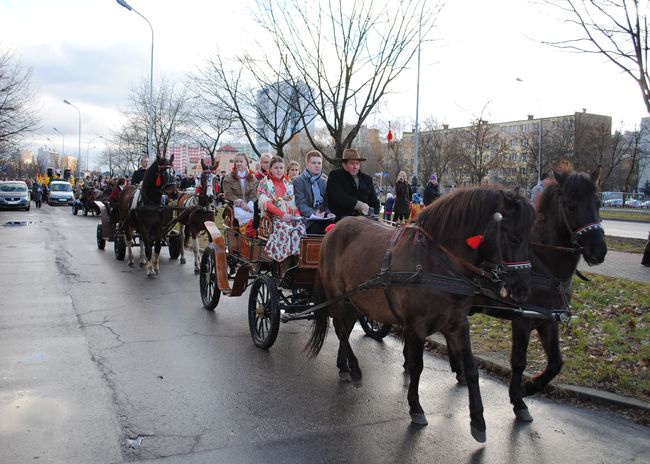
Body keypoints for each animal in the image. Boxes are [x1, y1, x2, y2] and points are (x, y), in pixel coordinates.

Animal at [306, 186, 536, 442]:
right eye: (513, 237)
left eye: (530, 238)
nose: (523, 289)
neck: (438, 262)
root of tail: (335, 227)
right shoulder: (416, 326)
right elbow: (417, 366)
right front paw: (416, 407)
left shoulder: (458, 324)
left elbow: (472, 369)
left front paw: (478, 420)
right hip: (338, 296)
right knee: (340, 330)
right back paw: (354, 368)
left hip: (357, 300)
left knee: (345, 329)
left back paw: (344, 366)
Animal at [442, 169, 604, 422]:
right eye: (571, 206)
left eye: (598, 203)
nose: (599, 250)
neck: (545, 264)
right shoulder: (523, 319)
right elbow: (518, 361)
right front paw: (518, 400)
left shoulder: (549, 319)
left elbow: (556, 363)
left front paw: (530, 387)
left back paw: (457, 368)